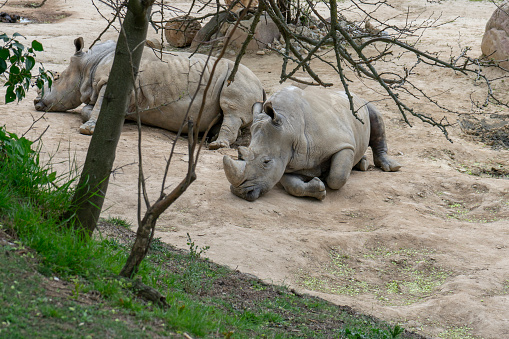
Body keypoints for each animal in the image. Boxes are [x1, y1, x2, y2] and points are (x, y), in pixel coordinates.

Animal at [32, 36, 262, 149]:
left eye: (56, 78)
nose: (36, 102)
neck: (89, 64)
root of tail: (261, 86)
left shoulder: (112, 83)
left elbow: (94, 110)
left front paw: (87, 130)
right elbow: (89, 109)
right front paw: (122, 119)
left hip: (240, 78)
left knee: (232, 108)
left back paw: (216, 145)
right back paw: (210, 137)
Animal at [222, 85, 400, 202]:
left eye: (266, 162)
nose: (239, 193)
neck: (289, 128)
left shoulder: (344, 144)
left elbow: (337, 176)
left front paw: (325, 175)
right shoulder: (287, 160)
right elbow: (292, 185)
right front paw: (317, 188)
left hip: (361, 103)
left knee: (375, 115)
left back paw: (390, 167)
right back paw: (361, 163)